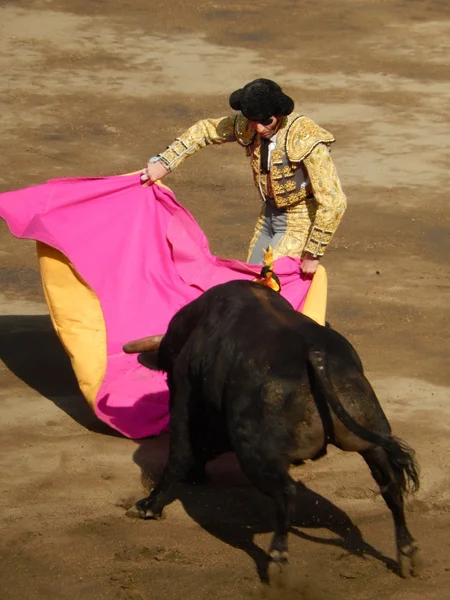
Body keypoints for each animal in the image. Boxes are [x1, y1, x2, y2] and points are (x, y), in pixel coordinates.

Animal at [124, 282, 422, 576]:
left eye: (167, 373)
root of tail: (314, 353)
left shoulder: (185, 397)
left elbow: (179, 457)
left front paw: (150, 506)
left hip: (255, 450)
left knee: (285, 491)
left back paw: (277, 557)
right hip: (371, 434)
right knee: (391, 482)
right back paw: (406, 552)